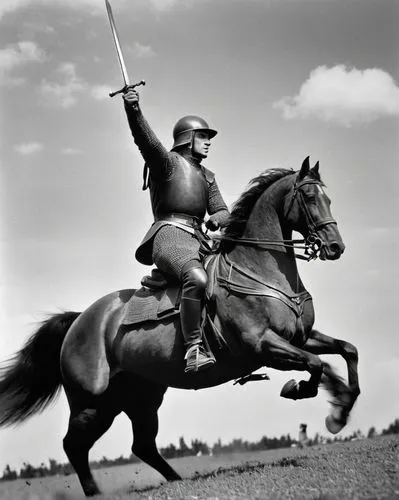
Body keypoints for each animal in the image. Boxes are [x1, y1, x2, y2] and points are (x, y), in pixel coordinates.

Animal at [0, 157, 362, 496]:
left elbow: (344, 353)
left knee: (141, 445)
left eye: (329, 198)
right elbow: (316, 364)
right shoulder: (263, 346)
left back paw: (177, 480)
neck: (260, 271)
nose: (336, 247)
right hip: (92, 404)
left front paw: (339, 410)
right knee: (74, 446)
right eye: (310, 197)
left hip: (139, 399)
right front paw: (301, 391)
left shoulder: (301, 338)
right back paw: (96, 493)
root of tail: (78, 321)